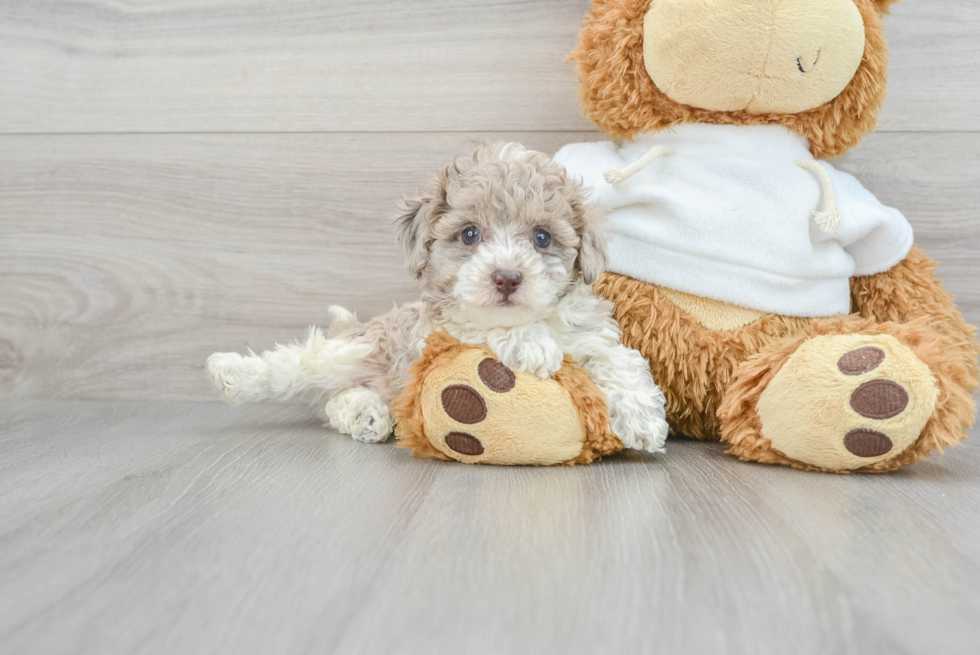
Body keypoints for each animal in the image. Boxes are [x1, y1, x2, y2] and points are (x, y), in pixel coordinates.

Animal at [205, 142, 668, 454]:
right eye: (470, 234)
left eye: (542, 237)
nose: (507, 278)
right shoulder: (438, 330)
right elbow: (485, 325)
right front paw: (530, 343)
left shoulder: (589, 334)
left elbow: (618, 358)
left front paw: (642, 416)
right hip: (358, 350)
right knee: (299, 364)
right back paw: (233, 373)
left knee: (335, 396)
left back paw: (367, 414)